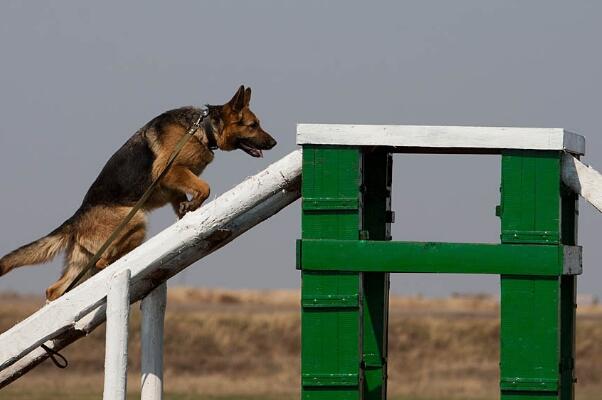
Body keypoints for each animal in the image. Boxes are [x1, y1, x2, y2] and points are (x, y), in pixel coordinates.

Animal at [0, 86, 276, 300]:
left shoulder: (172, 186)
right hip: (135, 221)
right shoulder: (170, 170)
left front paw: (188, 211)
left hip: (81, 262)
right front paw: (193, 205)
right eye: (253, 125)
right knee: (102, 262)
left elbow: (188, 197)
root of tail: (76, 218)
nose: (274, 143)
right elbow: (204, 187)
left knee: (56, 289)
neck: (204, 128)